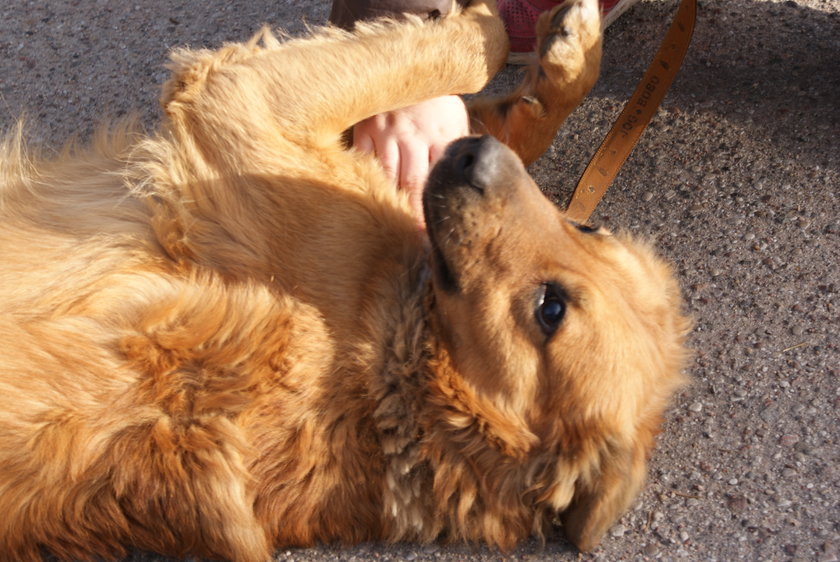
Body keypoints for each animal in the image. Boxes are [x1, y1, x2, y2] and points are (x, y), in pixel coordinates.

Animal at [0, 0, 688, 556]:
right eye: (587, 229)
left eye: (551, 310)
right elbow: (498, 108)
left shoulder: (240, 107)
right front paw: (566, 57)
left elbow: (466, 52)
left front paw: (489, 20)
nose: (474, 159)